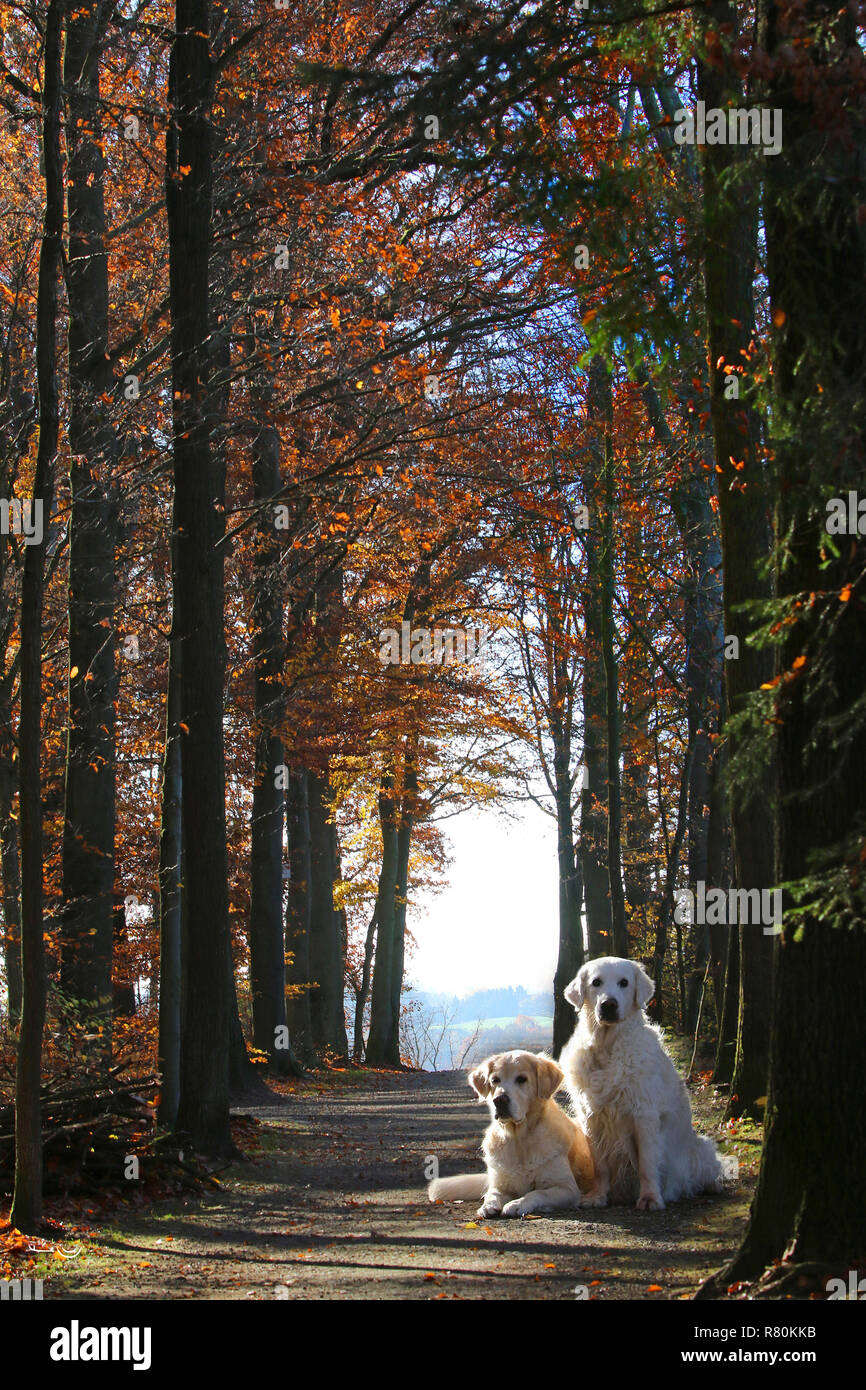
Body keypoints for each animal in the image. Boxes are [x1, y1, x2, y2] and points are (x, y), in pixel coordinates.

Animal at [428, 1050, 594, 1217]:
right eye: (495, 1080)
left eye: (522, 1079)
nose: (499, 1100)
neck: (519, 1139)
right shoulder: (500, 1184)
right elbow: (491, 1193)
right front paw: (488, 1206)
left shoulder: (567, 1188)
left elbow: (537, 1193)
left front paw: (517, 1204)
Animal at [558, 956, 722, 1206]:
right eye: (596, 982)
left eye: (624, 983)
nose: (608, 1005)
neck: (607, 1046)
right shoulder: (591, 1117)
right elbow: (599, 1166)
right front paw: (597, 1196)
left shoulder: (643, 1114)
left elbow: (646, 1163)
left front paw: (650, 1197)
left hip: (700, 1148)